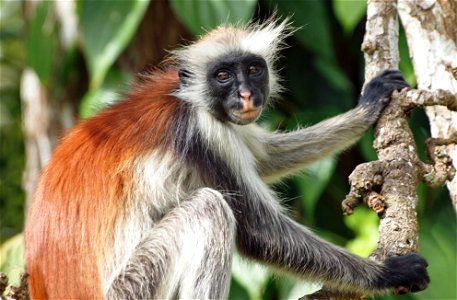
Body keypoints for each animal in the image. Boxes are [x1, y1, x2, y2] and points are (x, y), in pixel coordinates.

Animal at [26, 19, 430, 298]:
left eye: (252, 69)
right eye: (222, 76)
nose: (246, 95)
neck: (187, 98)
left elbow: (264, 157)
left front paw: (369, 105)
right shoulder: (204, 132)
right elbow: (261, 234)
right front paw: (390, 273)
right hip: (128, 290)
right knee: (209, 209)